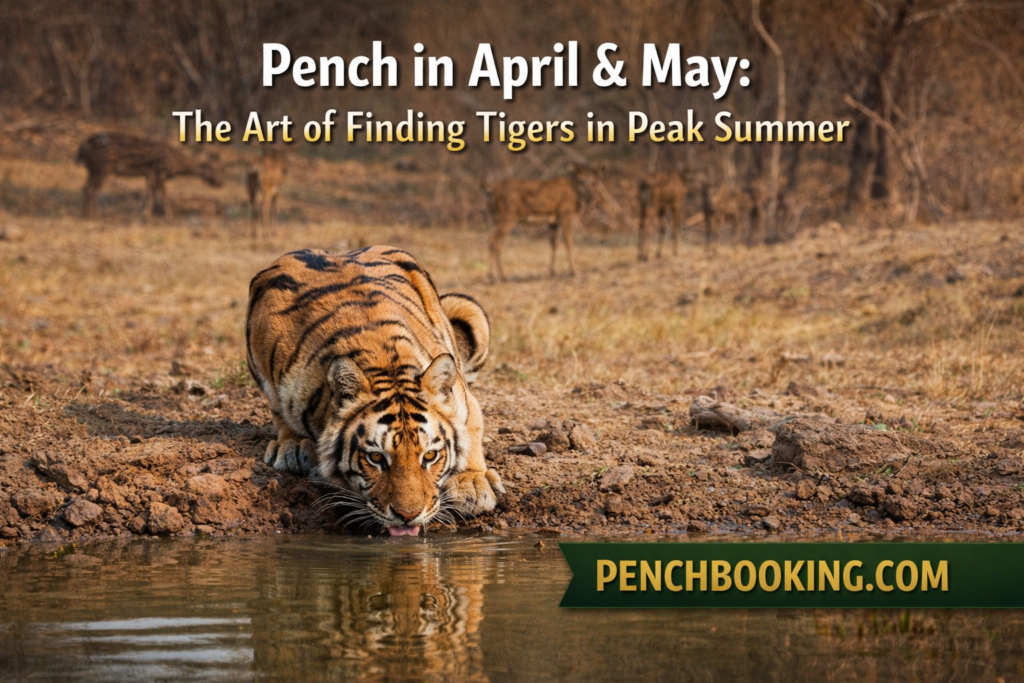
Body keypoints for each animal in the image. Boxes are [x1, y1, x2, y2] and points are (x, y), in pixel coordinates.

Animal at [246, 246, 505, 536]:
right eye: (375, 458)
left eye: (430, 455)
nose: (408, 515)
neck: (386, 364)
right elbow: (280, 412)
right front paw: (293, 443)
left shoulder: (464, 401)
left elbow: (470, 432)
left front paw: (471, 485)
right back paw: (294, 447)